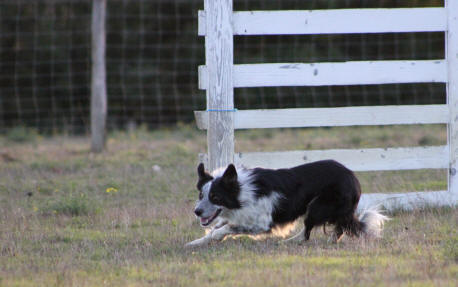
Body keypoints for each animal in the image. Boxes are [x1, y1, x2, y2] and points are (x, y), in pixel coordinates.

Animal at [184, 160, 388, 248]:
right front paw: (196, 242)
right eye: (201, 195)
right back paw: (330, 241)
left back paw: (291, 241)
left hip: (317, 206)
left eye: (215, 197)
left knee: (308, 231)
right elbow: (217, 228)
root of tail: (353, 178)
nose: (196, 211)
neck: (241, 193)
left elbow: (224, 229)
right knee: (339, 227)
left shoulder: (261, 224)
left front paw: (215, 236)